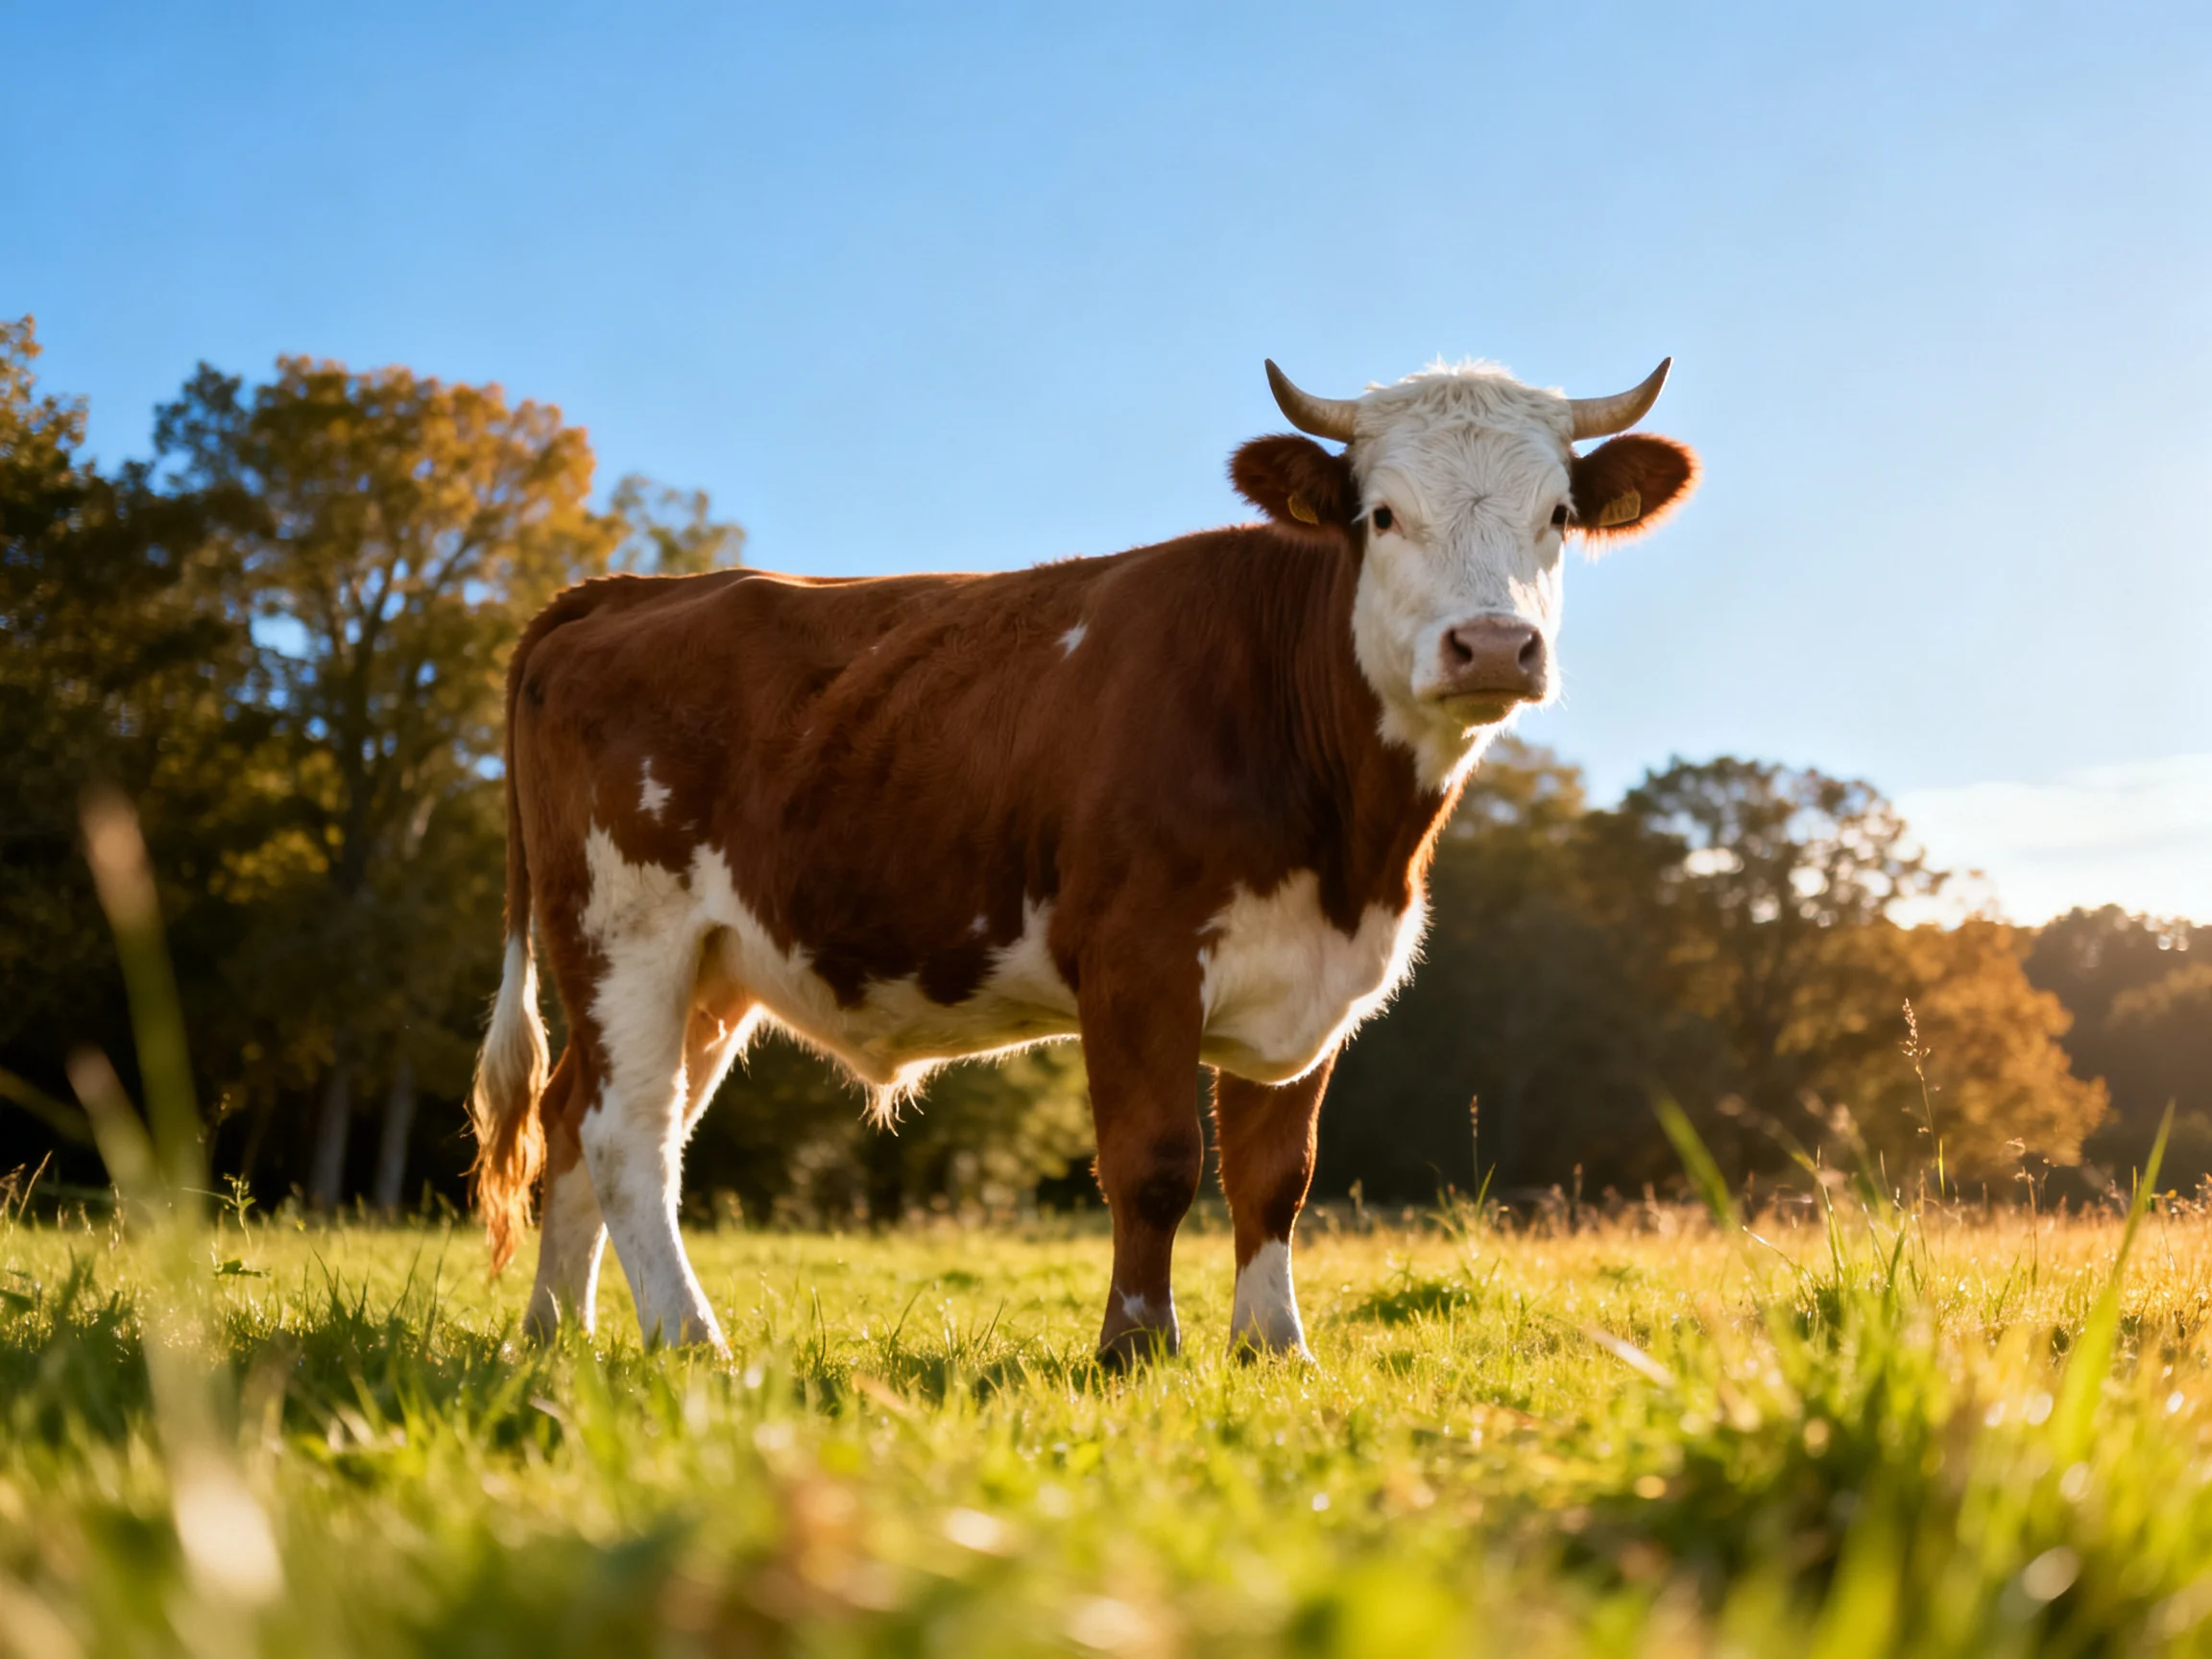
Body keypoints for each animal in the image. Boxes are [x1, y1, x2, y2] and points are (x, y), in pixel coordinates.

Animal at [467, 356, 1698, 1363]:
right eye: (1384, 515)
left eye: (1557, 515)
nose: (1492, 644)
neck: (1351, 846)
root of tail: (621, 592)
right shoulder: (1137, 960)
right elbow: (1153, 1163)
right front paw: (1137, 1347)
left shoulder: (1316, 979)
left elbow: (1276, 1177)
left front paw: (1275, 1348)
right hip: (625, 932)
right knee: (626, 1135)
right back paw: (688, 1338)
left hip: (711, 969)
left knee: (576, 1119)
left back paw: (555, 1334)